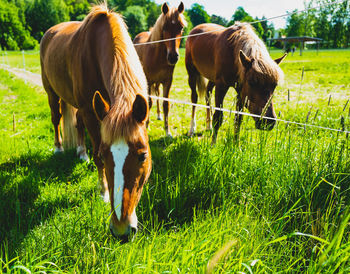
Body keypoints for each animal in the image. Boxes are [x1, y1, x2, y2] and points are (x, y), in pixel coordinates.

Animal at [40, 3, 152, 240]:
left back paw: (81, 152)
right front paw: (103, 192)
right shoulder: (91, 113)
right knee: (56, 118)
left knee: (77, 124)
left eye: (143, 156)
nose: (122, 230)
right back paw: (59, 148)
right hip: (52, 93)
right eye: (103, 154)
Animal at [133, 2, 186, 137]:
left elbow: (165, 104)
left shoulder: (167, 81)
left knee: (157, 95)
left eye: (181, 27)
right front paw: (146, 126)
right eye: (165, 27)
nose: (173, 57)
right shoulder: (148, 81)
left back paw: (158, 115)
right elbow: (149, 102)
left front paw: (167, 132)